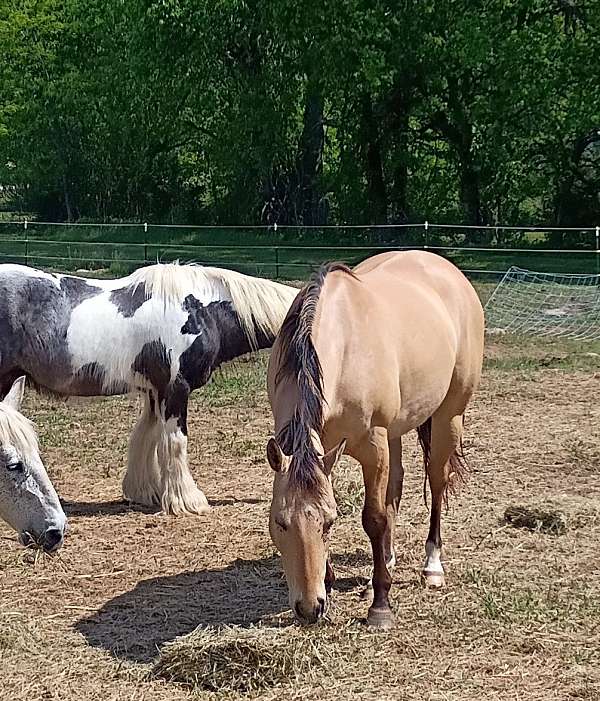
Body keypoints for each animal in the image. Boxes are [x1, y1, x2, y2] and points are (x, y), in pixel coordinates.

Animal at [0, 262, 298, 515]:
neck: (202, 311)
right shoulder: (176, 389)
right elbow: (175, 441)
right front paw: (187, 500)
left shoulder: (156, 391)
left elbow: (146, 435)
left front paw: (144, 492)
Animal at [266, 250, 484, 628]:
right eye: (280, 522)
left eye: (328, 523)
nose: (309, 608)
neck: (341, 343)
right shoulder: (327, 449)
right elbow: (379, 507)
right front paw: (335, 582)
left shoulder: (373, 447)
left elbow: (374, 518)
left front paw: (381, 606)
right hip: (396, 433)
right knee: (395, 488)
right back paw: (385, 562)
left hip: (448, 418)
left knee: (436, 483)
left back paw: (431, 567)